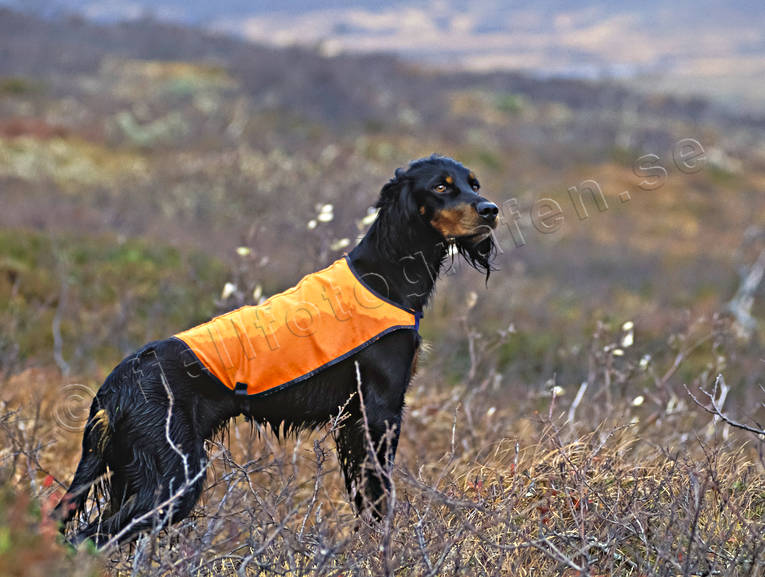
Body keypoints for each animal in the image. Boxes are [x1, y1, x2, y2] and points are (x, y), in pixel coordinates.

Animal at [52, 153, 496, 544]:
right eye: (441, 186)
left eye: (474, 184)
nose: (490, 210)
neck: (384, 276)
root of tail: (113, 387)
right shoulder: (379, 412)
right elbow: (378, 498)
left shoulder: (354, 420)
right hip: (171, 478)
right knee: (87, 538)